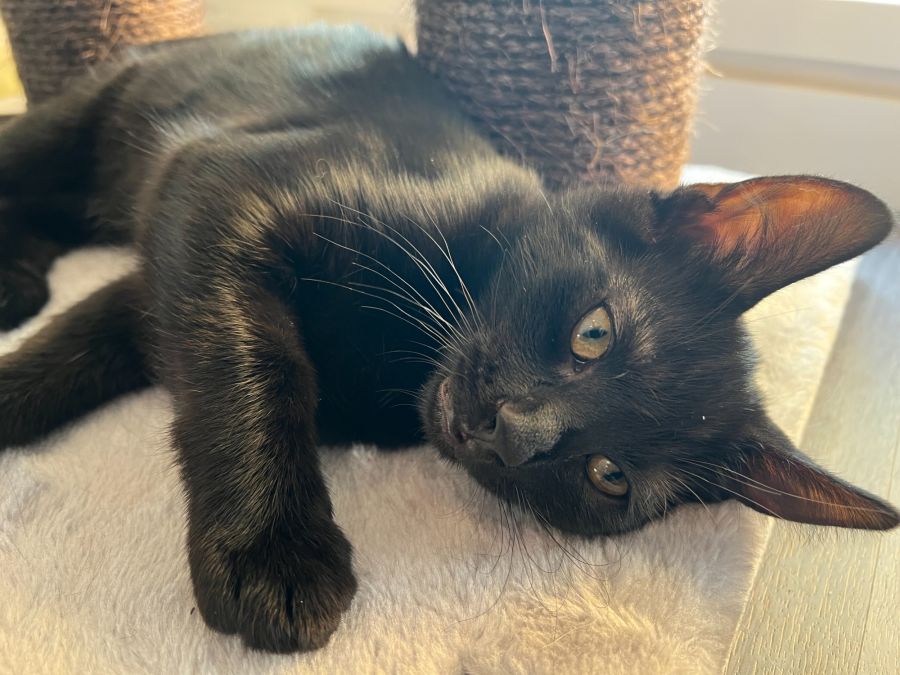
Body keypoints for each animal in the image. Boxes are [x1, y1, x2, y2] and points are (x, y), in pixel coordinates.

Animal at [0, 26, 897, 654]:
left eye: (609, 476)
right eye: (594, 331)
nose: (512, 430)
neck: (398, 362)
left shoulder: (165, 277)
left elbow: (99, 341)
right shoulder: (223, 189)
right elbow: (250, 366)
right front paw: (273, 550)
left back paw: (21, 276)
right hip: (85, 119)